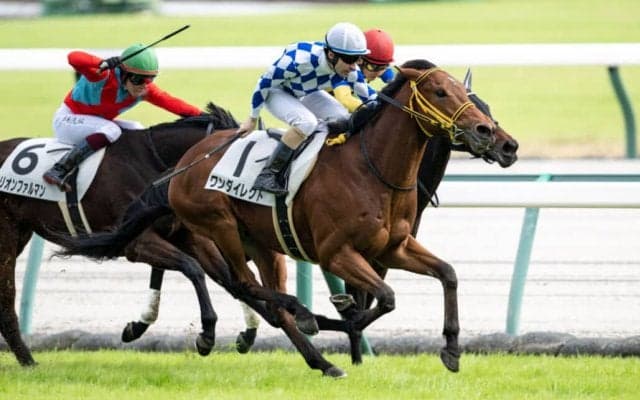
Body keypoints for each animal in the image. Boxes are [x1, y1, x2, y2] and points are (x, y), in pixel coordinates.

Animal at [0, 102, 260, 366]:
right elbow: (193, 268)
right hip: (6, 235)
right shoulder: (136, 242)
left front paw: (250, 332)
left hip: (21, 232)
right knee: (6, 298)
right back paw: (27, 360)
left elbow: (227, 276)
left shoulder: (186, 236)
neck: (156, 164)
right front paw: (207, 333)